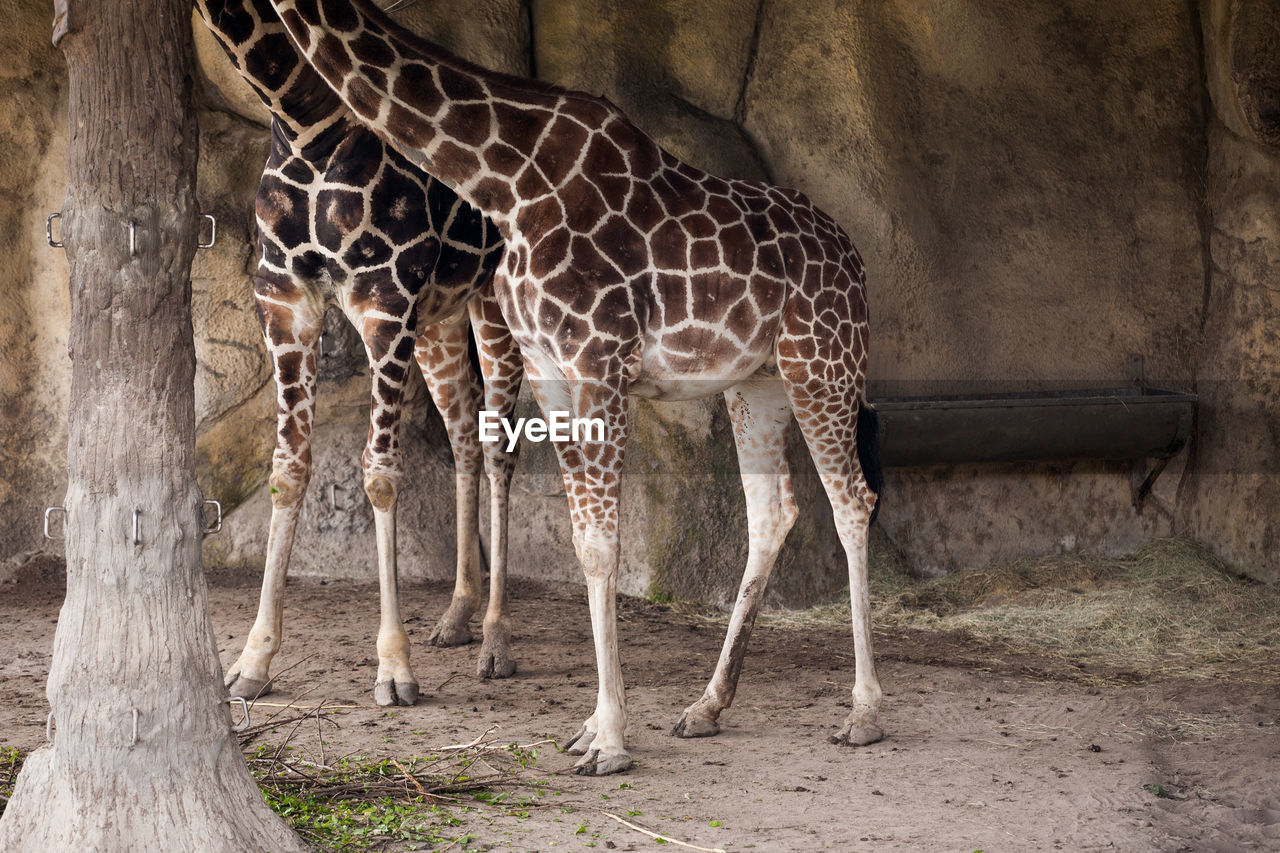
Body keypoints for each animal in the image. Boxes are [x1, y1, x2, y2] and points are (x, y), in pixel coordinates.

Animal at [190, 0, 529, 701]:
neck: (301, 122)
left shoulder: (385, 303)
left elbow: (379, 475)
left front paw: (394, 668)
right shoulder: (284, 302)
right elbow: (288, 469)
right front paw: (253, 660)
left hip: (495, 305)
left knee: (498, 447)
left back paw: (495, 641)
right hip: (441, 320)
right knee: (463, 432)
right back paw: (456, 617)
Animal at [270, 0, 885, 773]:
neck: (504, 178)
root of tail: (856, 259)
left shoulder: (599, 357)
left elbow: (602, 542)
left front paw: (612, 738)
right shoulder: (549, 369)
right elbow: (584, 539)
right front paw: (596, 727)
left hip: (823, 362)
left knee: (852, 500)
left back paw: (864, 712)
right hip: (757, 383)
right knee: (773, 511)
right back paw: (707, 705)